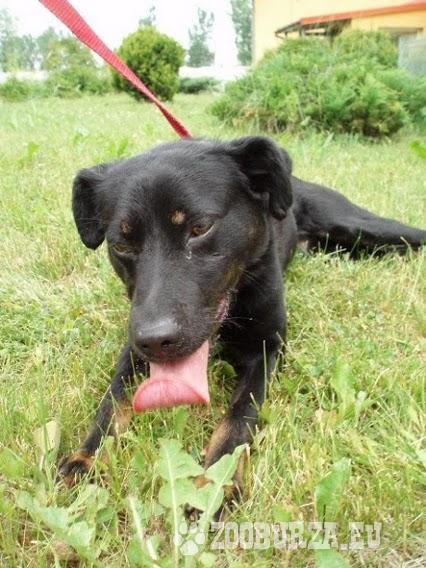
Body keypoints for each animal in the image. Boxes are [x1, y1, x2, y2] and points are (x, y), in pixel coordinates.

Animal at [60, 136, 425, 501]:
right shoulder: (134, 347)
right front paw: (87, 456)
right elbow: (113, 399)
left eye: (201, 228)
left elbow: (239, 416)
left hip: (359, 225)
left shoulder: (267, 349)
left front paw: (214, 484)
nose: (156, 340)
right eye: (121, 244)